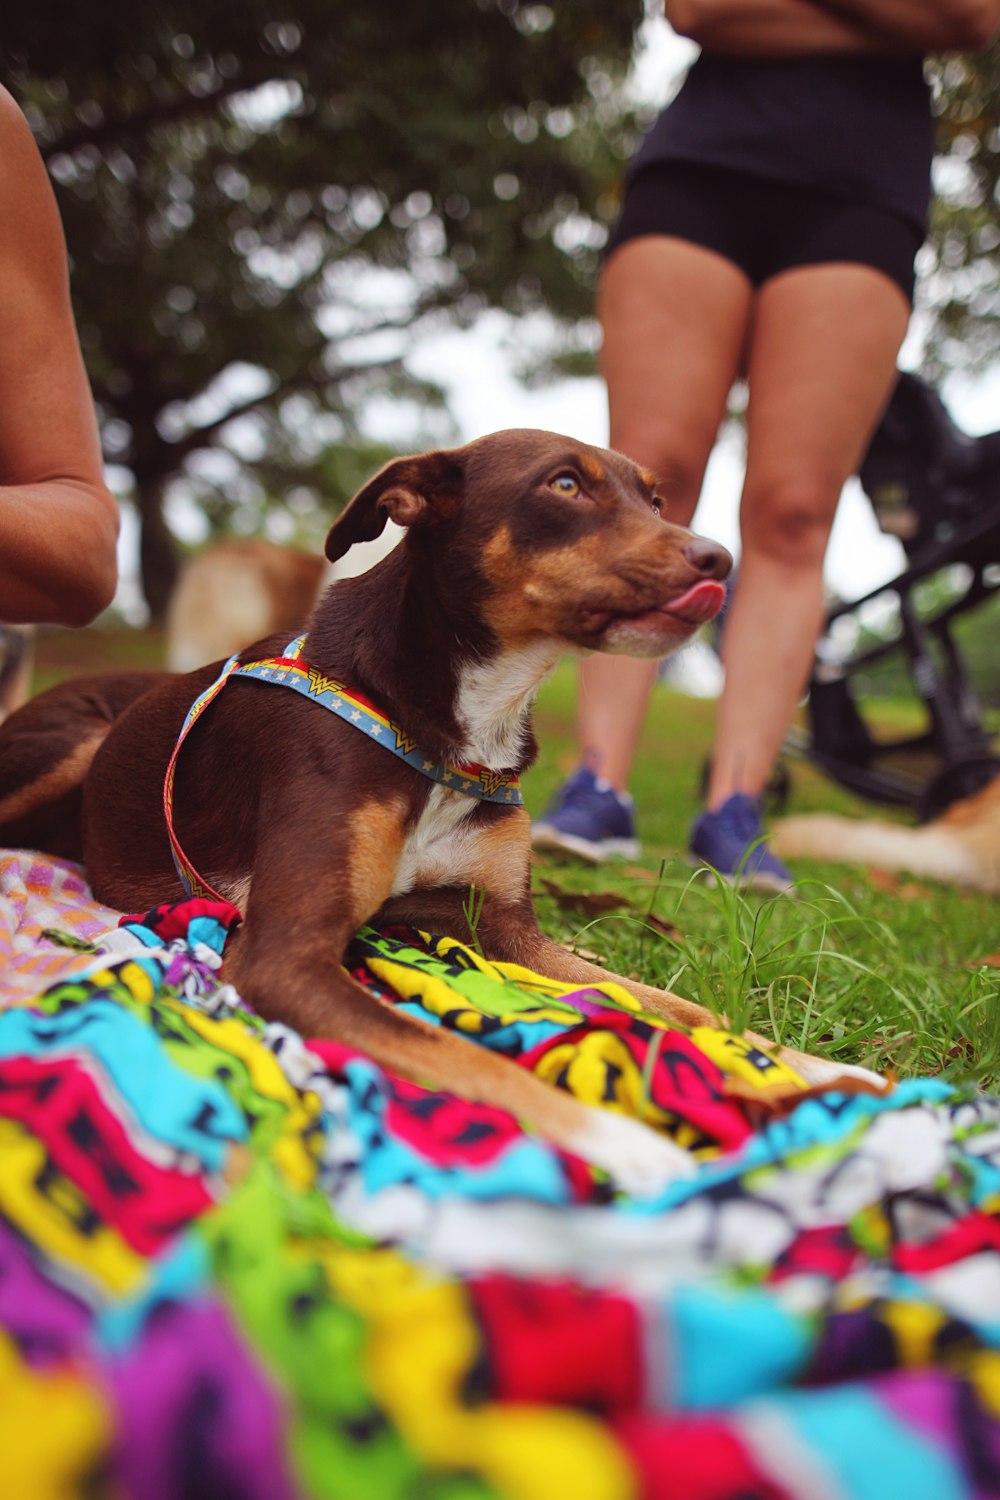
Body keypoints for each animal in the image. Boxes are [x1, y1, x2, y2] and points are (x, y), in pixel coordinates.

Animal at [0, 435, 875, 1194]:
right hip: (74, 747)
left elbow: (670, 1005)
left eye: (656, 498)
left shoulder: (504, 928)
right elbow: (459, 1050)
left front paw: (808, 1065)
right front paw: (625, 1140)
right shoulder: (285, 953)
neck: (455, 723)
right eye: (565, 485)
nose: (717, 559)